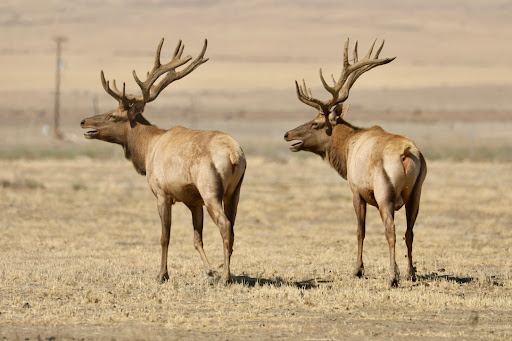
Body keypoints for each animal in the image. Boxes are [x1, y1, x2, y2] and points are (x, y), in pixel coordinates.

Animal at [80, 38, 246, 282]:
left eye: (113, 115)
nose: (83, 121)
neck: (147, 149)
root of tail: (234, 154)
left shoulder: (162, 193)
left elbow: (164, 236)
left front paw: (162, 274)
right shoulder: (193, 200)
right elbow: (197, 239)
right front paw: (209, 270)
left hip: (210, 189)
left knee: (225, 225)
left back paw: (226, 277)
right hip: (234, 191)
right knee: (233, 227)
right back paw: (227, 272)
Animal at [284, 37, 428, 286]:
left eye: (315, 123)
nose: (287, 134)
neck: (348, 147)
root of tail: (408, 153)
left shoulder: (356, 190)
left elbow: (360, 229)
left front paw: (358, 269)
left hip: (385, 194)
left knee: (391, 230)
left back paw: (393, 277)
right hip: (416, 193)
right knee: (409, 231)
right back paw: (411, 273)